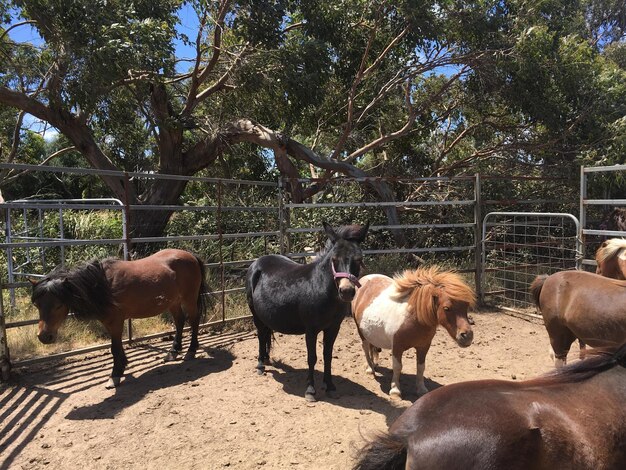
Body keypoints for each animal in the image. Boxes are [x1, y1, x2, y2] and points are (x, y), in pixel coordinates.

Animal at [31, 248, 208, 388]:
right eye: (37, 305)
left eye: (59, 304)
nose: (44, 336)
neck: (102, 285)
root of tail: (191, 256)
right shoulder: (109, 322)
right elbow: (116, 347)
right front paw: (121, 367)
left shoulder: (115, 321)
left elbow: (115, 348)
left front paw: (115, 375)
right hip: (173, 302)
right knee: (179, 321)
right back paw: (173, 352)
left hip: (189, 299)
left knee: (194, 320)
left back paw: (191, 351)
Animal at [352, 266, 472, 398]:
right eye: (447, 308)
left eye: (466, 306)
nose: (467, 336)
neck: (413, 318)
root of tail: (364, 280)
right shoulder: (397, 347)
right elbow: (397, 367)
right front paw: (395, 390)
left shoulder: (424, 347)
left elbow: (421, 367)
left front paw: (421, 389)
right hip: (361, 331)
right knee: (365, 347)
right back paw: (370, 369)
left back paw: (374, 365)